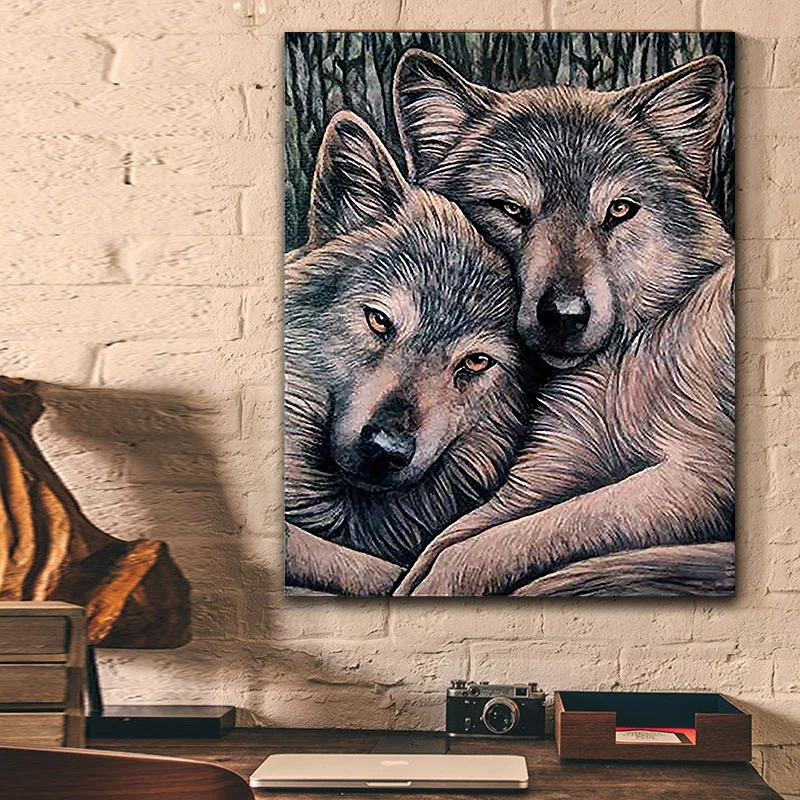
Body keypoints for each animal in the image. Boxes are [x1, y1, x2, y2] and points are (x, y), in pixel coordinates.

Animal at [392, 51, 735, 595]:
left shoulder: (702, 471)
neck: (626, 356)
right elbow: (442, 546)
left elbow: (476, 552)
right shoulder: (545, 472)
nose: (565, 316)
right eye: (512, 208)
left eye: (619, 209)